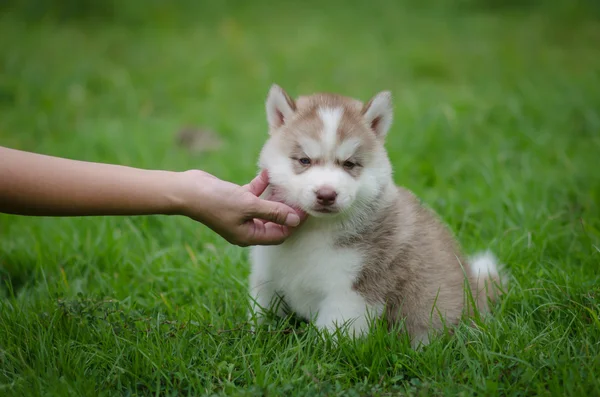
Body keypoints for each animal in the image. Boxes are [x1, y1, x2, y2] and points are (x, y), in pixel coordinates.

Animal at [246, 84, 504, 346]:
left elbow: (333, 336)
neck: (316, 229)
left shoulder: (353, 291)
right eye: (304, 160)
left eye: (349, 164)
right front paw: (255, 337)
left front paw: (322, 352)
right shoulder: (266, 276)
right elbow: (261, 312)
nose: (326, 194)